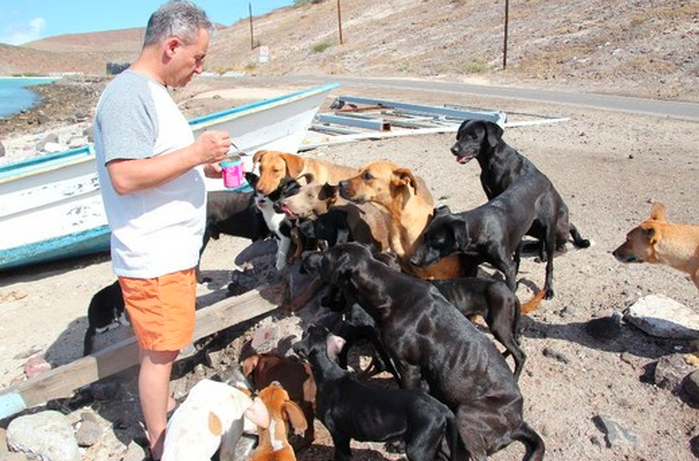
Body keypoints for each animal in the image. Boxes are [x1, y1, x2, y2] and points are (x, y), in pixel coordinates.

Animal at [292, 324, 460, 460]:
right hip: (436, 442)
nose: (311, 324)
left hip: (418, 449)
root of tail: (442, 408)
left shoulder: (339, 436)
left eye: (307, 332)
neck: (329, 370)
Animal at [454, 118, 592, 256]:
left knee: (561, 247)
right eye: (460, 134)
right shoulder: (491, 196)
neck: (493, 161)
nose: (453, 149)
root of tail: (568, 225)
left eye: (473, 136)